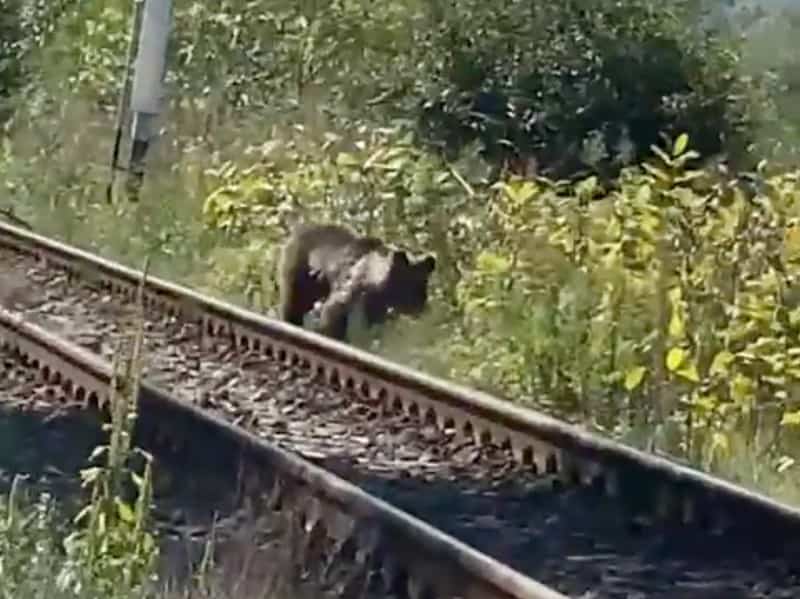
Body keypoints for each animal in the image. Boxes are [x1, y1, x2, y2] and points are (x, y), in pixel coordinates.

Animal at [276, 223, 438, 342]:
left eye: (422, 284)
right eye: (407, 285)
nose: (421, 308)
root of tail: (298, 230)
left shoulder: (376, 303)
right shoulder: (351, 286)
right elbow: (333, 313)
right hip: (301, 271)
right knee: (294, 301)